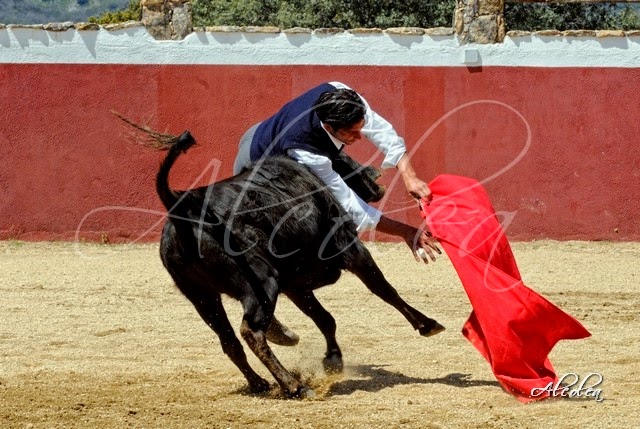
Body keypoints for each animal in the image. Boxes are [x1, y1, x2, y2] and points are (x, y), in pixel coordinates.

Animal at [134, 125, 444, 398]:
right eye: (339, 156)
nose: (374, 171)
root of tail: (181, 211)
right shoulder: (351, 249)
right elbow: (385, 290)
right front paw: (427, 324)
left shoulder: (295, 286)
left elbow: (325, 318)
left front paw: (333, 360)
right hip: (261, 282)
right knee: (250, 331)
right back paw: (294, 386)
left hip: (201, 296)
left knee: (229, 340)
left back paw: (261, 383)